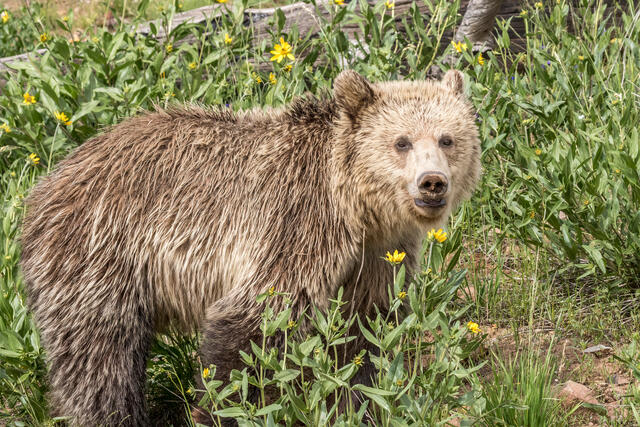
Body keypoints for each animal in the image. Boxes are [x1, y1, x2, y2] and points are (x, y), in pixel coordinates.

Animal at [19, 69, 481, 426]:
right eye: (402, 141)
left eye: (447, 138)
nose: (432, 183)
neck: (357, 209)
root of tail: (48, 182)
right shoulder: (296, 223)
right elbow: (254, 322)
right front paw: (222, 409)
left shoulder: (377, 255)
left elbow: (362, 337)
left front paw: (355, 405)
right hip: (98, 254)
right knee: (100, 356)